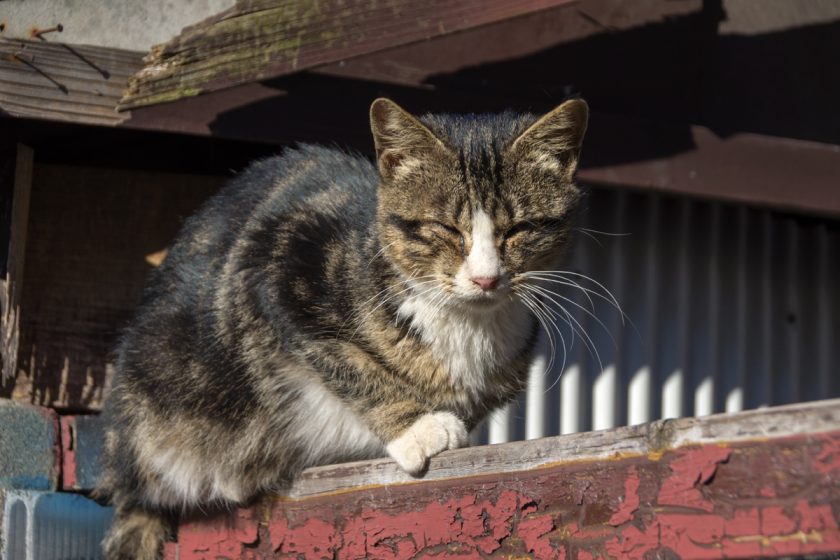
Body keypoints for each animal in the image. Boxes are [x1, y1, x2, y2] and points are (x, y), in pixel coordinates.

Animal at [100, 96, 592, 556]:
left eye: (521, 228)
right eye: (444, 228)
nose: (485, 278)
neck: (466, 323)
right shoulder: (277, 266)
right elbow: (347, 362)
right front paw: (418, 428)